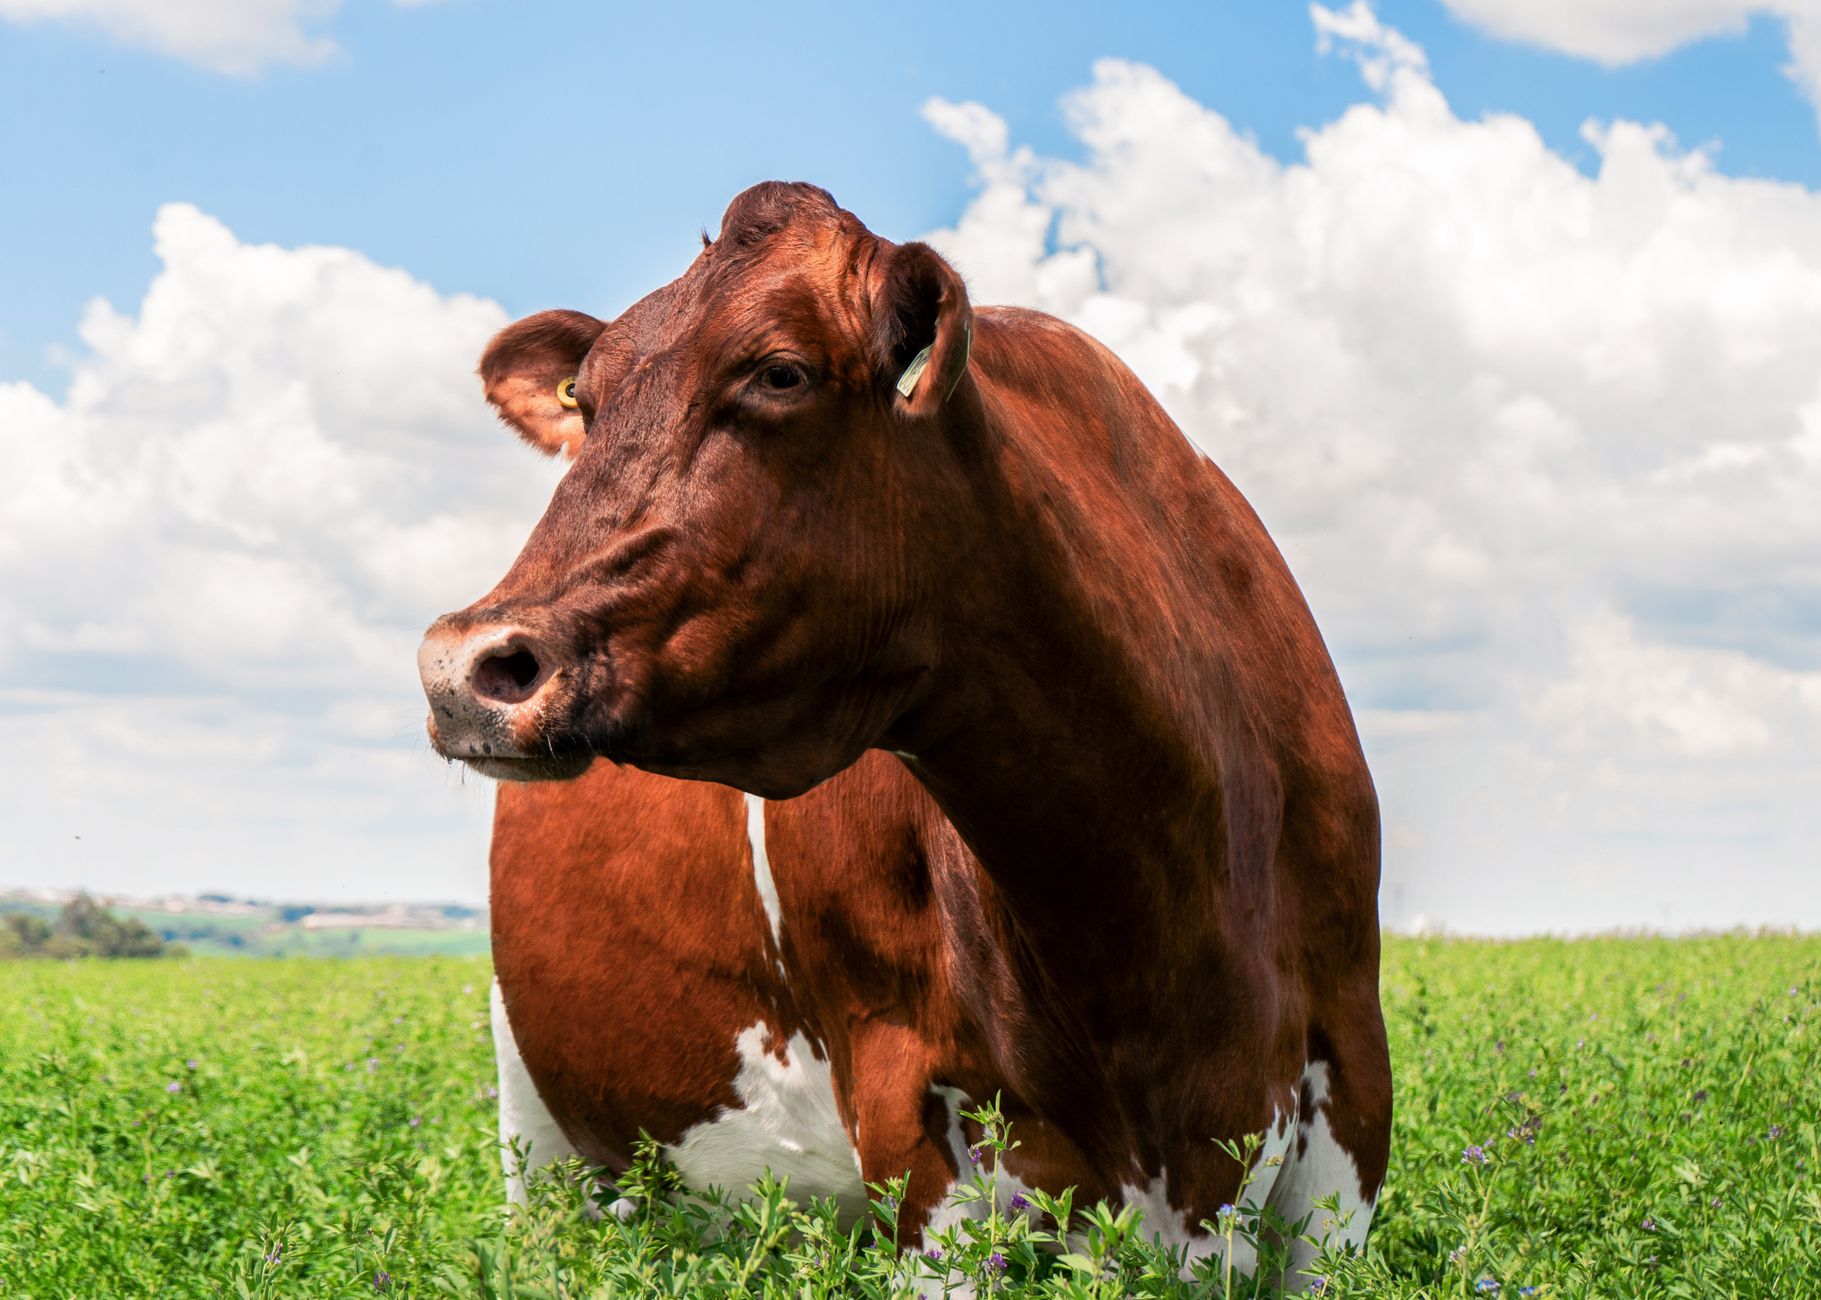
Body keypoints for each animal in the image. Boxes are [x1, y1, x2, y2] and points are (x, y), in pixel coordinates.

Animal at [422, 181, 1392, 1285]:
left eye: (781, 370)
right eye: (584, 401)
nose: (462, 664)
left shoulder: (1350, 1103)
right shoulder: (914, 1116)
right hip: (530, 1121)